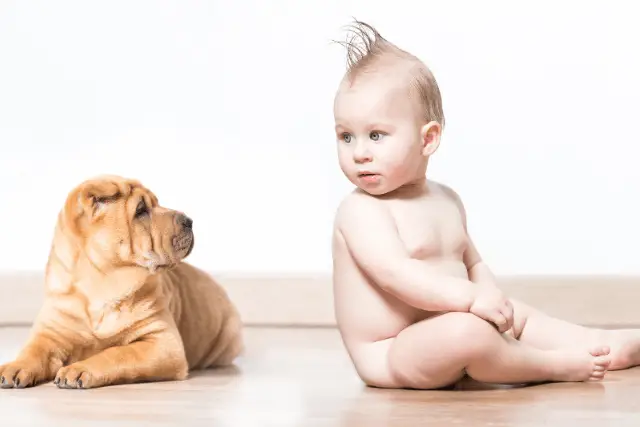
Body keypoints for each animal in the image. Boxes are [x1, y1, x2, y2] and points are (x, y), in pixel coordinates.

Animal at [0, 176, 242, 390]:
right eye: (141, 210)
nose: (189, 221)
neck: (101, 283)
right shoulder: (50, 332)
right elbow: (33, 350)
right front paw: (15, 367)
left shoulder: (162, 341)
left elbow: (118, 353)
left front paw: (78, 369)